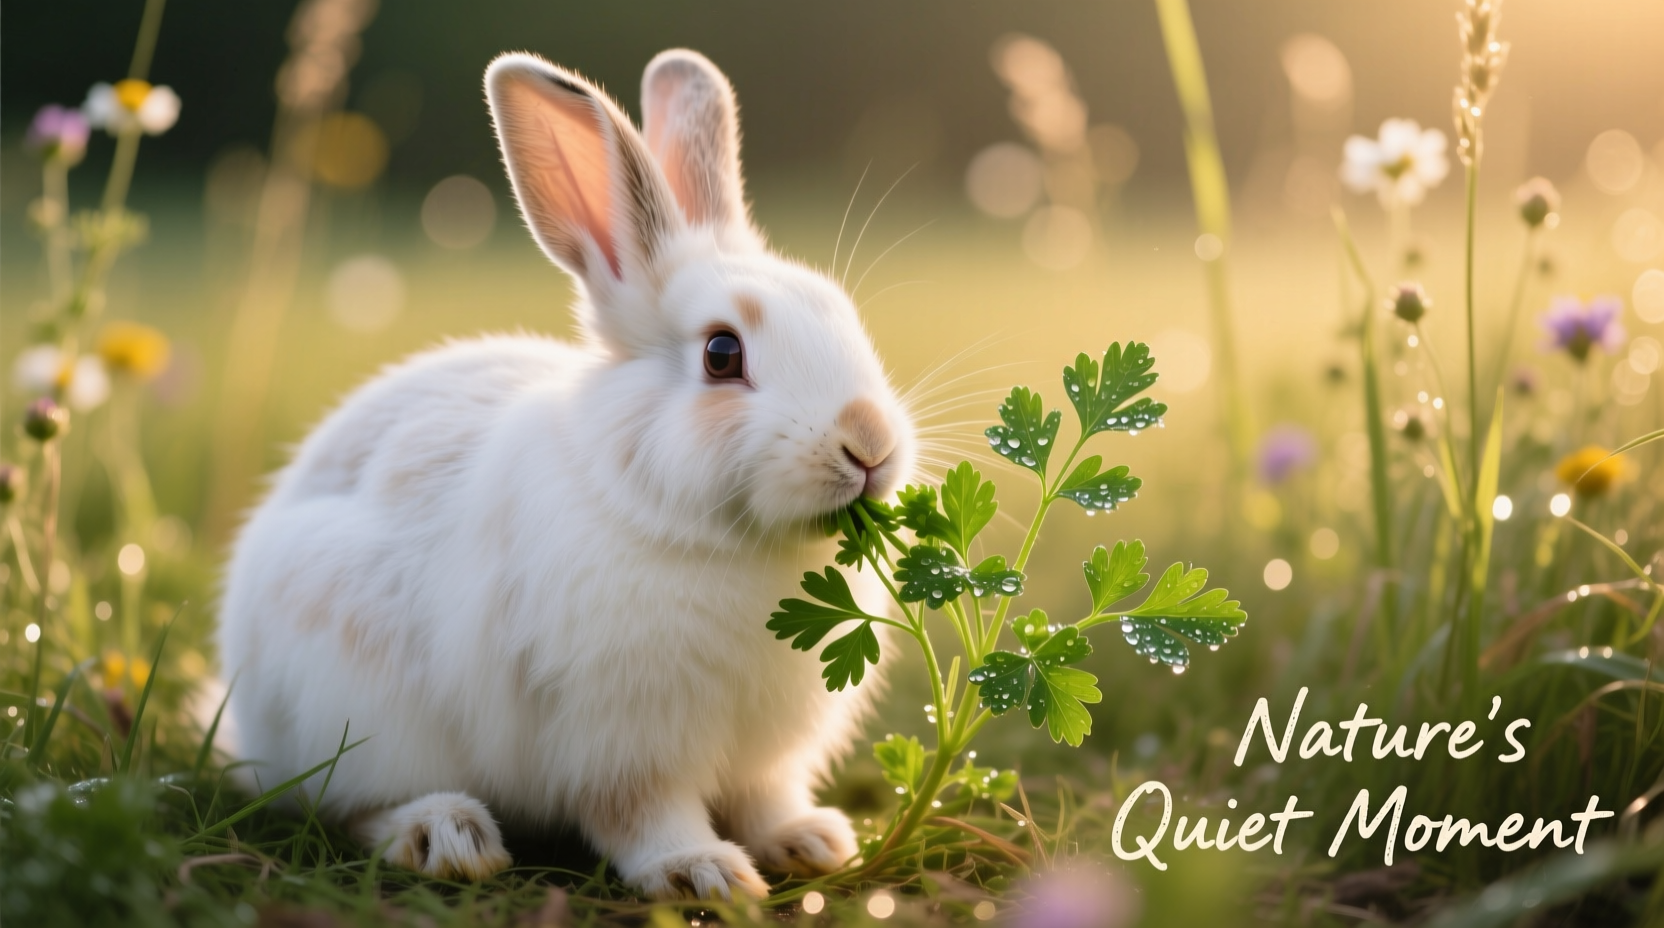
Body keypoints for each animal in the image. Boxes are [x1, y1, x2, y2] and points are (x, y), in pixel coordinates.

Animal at [216, 48, 915, 900]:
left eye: (842, 314)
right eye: (722, 354)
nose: (870, 444)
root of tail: (246, 725)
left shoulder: (765, 756)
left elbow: (765, 801)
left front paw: (811, 842)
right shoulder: (621, 744)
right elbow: (643, 817)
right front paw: (703, 874)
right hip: (354, 710)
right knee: (342, 803)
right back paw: (444, 835)